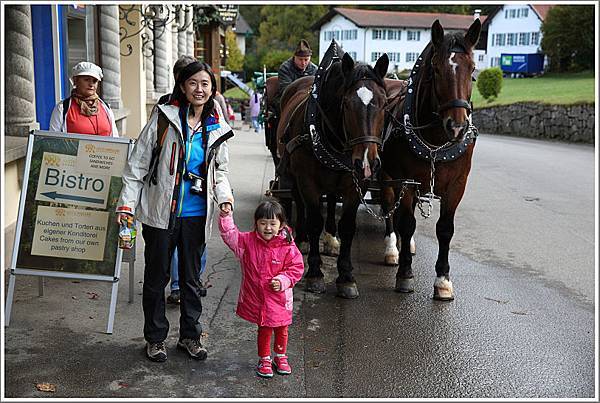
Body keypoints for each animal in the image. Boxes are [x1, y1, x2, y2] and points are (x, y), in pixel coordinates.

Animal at [276, 48, 390, 300]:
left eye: (385, 103)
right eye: (346, 104)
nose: (367, 161)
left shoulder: (356, 184)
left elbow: (347, 225)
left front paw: (346, 276)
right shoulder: (307, 181)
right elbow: (314, 221)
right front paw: (315, 273)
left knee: (329, 202)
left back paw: (330, 239)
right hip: (293, 175)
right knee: (301, 204)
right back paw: (303, 240)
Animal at [380, 19, 482, 300]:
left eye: (473, 69)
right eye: (436, 69)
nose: (457, 127)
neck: (436, 139)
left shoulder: (458, 184)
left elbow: (445, 229)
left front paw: (443, 280)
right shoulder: (407, 181)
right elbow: (406, 223)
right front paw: (405, 273)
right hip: (386, 176)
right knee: (389, 208)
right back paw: (393, 247)